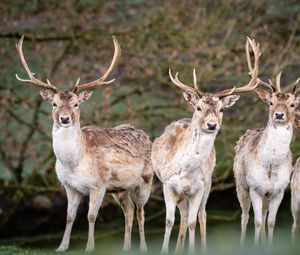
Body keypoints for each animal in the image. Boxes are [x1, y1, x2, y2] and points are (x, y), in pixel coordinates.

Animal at [15, 34, 154, 252]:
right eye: (54, 103)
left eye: (76, 104)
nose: (64, 119)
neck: (74, 162)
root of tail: (147, 136)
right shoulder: (69, 187)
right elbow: (69, 216)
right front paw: (61, 247)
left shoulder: (99, 184)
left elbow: (91, 216)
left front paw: (89, 247)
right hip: (119, 189)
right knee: (129, 211)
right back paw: (125, 247)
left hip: (145, 181)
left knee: (141, 212)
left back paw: (143, 247)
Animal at [151, 37, 262, 253]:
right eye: (198, 107)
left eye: (221, 109)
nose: (212, 124)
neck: (185, 170)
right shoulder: (167, 184)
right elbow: (169, 221)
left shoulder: (199, 187)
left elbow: (194, 222)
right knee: (183, 216)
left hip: (209, 183)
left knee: (200, 216)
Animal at [234, 70, 300, 246]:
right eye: (271, 102)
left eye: (293, 105)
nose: (279, 114)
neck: (270, 166)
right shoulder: (254, 187)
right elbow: (256, 222)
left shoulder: (279, 191)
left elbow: (271, 222)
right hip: (241, 185)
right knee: (245, 216)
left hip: (267, 195)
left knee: (264, 216)